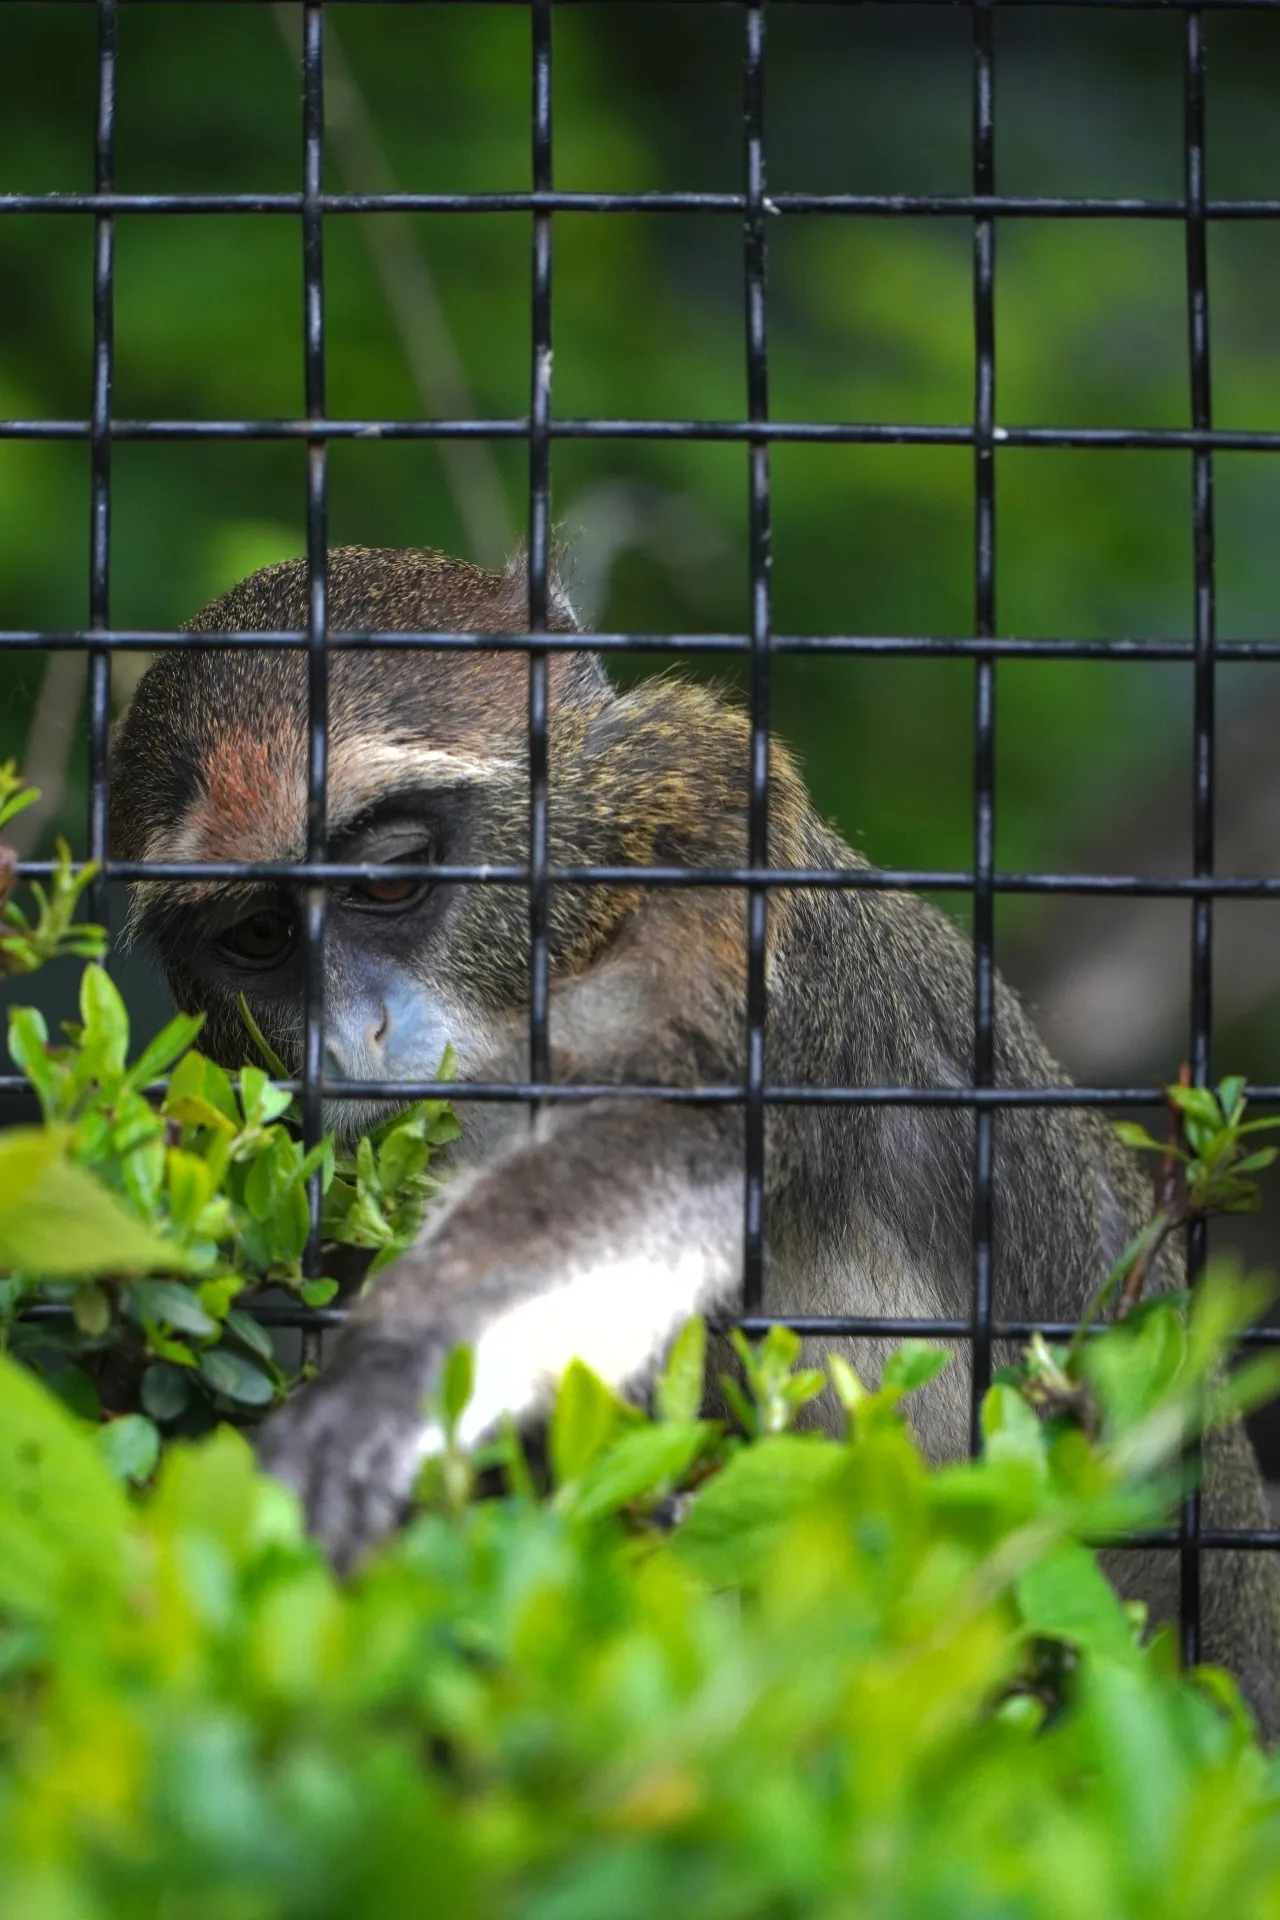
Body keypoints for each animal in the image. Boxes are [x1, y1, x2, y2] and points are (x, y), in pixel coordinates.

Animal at [110, 544, 1280, 1734]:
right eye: (259, 936)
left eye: (388, 873)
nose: (353, 1040)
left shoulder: (711, 854)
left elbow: (685, 1138)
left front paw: (390, 1377)